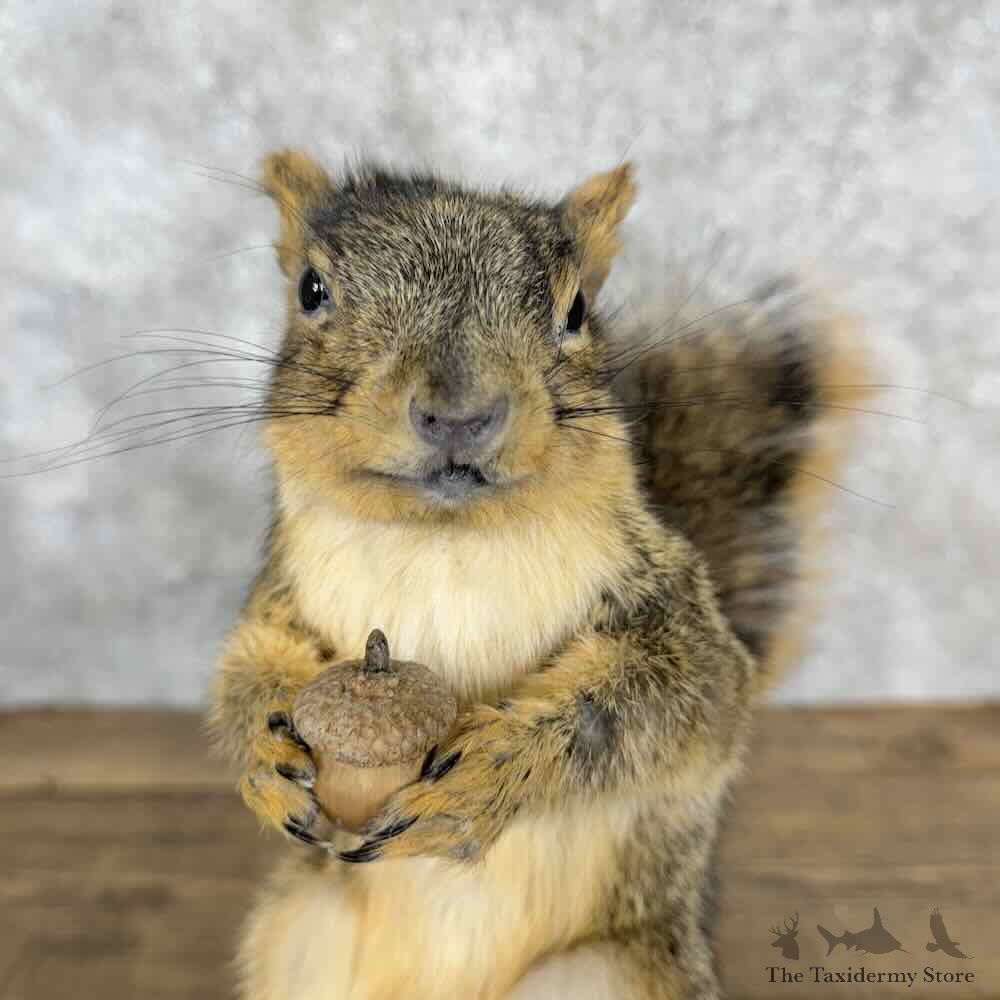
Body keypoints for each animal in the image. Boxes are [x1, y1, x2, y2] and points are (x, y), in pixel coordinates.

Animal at [208, 149, 870, 1000]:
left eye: (578, 307)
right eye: (311, 290)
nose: (460, 414)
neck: (441, 540)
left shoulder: (670, 603)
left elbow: (685, 697)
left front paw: (495, 768)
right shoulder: (280, 593)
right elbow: (251, 660)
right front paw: (265, 750)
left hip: (613, 974)